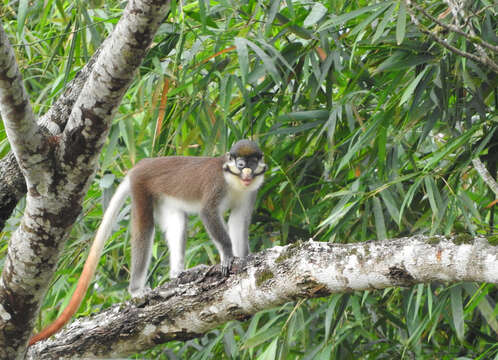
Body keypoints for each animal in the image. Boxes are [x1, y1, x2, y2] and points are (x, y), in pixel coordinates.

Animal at [28, 139, 268, 344]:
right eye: (241, 163)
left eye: (252, 162)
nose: (246, 171)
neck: (235, 183)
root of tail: (142, 165)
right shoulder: (216, 186)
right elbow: (208, 214)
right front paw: (227, 256)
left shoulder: (250, 193)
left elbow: (238, 220)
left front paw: (244, 257)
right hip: (141, 187)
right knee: (144, 228)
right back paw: (136, 289)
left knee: (177, 220)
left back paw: (177, 273)